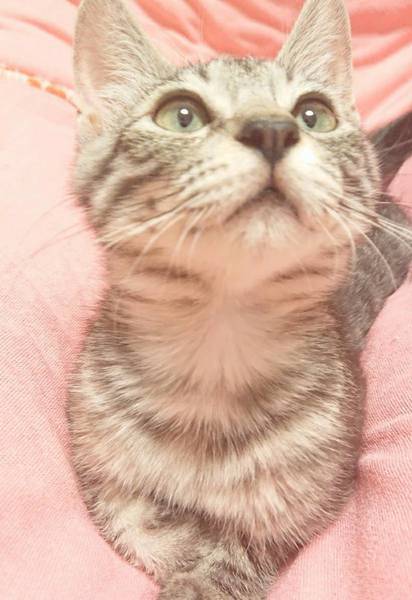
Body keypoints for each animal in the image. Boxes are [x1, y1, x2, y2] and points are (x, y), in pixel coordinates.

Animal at [68, 0, 412, 598]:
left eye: (313, 115)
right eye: (180, 115)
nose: (272, 130)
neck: (218, 346)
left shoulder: (310, 504)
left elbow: (237, 555)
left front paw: (198, 567)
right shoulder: (92, 449)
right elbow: (130, 518)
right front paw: (177, 537)